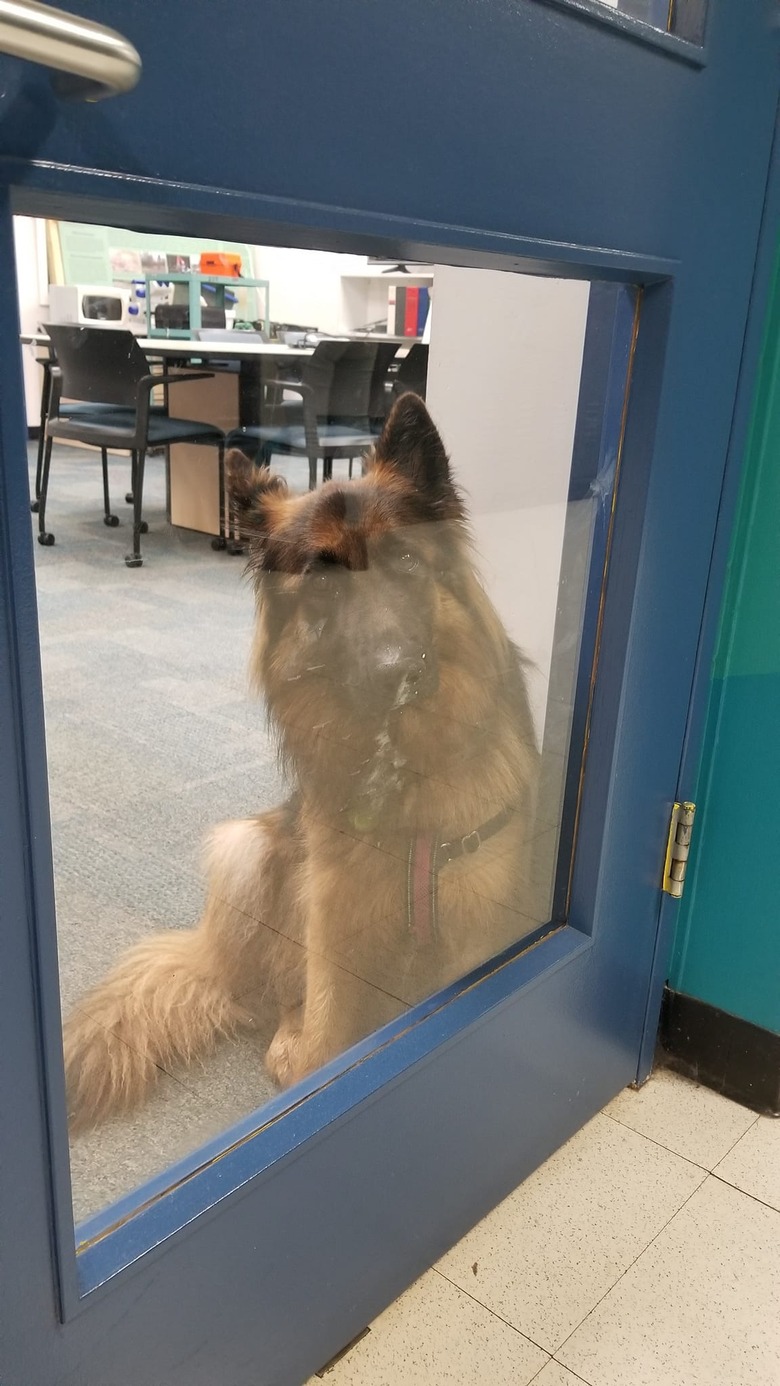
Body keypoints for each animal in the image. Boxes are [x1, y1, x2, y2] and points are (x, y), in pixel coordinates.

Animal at [64, 396, 540, 1130]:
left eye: (405, 561)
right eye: (325, 581)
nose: (396, 674)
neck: (401, 776)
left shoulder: (474, 930)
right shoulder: (334, 928)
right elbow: (326, 1042)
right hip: (250, 847)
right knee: (274, 997)